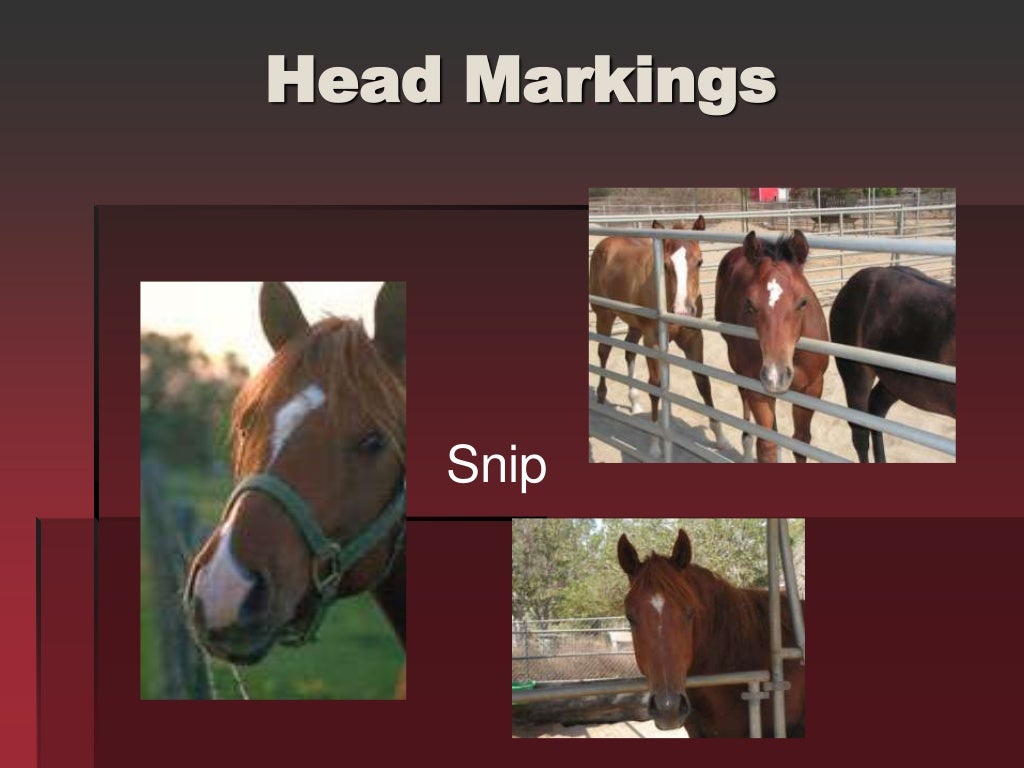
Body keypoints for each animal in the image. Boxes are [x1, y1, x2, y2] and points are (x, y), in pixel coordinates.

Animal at [590, 215, 725, 453]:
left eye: (699, 261)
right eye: (665, 265)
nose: (682, 311)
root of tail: (604, 244)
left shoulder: (693, 338)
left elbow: (703, 382)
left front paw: (719, 437)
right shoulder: (652, 339)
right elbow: (656, 385)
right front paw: (655, 444)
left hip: (634, 325)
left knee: (629, 353)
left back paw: (634, 401)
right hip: (605, 315)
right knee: (604, 351)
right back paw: (601, 394)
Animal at [714, 230, 828, 462]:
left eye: (803, 302)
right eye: (749, 304)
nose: (776, 376)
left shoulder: (812, 388)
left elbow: (801, 442)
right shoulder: (758, 388)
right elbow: (766, 445)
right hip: (738, 365)